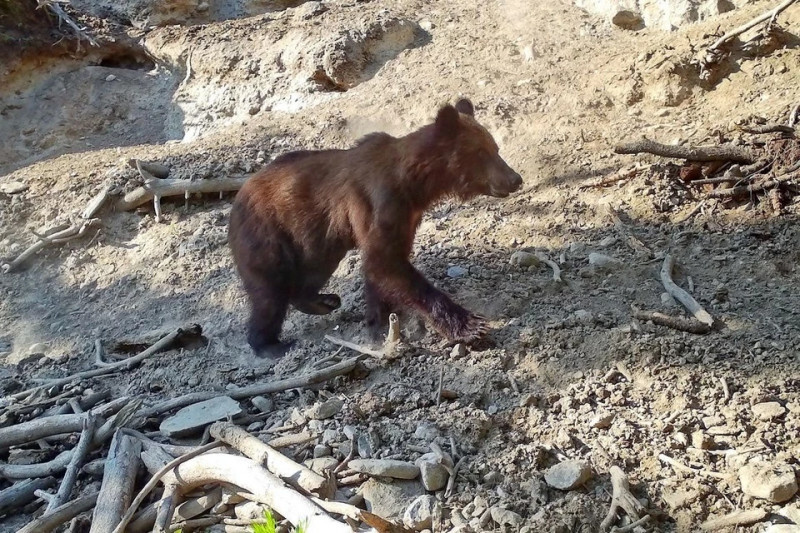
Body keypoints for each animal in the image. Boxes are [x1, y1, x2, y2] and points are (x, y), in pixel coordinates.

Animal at [228, 98, 520, 358]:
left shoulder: (406, 217)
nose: (515, 178)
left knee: (313, 271)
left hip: (316, 241)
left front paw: (378, 318)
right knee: (269, 293)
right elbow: (384, 261)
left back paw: (323, 301)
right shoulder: (378, 202)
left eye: (495, 148)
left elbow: (382, 265)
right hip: (266, 234)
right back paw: (270, 345)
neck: (415, 185)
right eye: (482, 152)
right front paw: (471, 326)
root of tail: (235, 202)